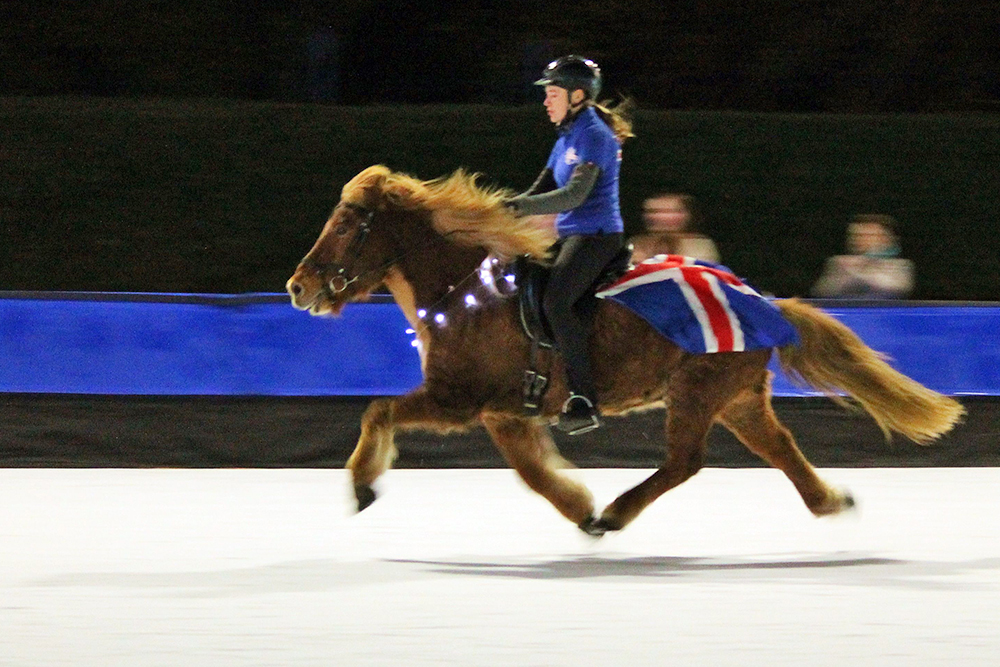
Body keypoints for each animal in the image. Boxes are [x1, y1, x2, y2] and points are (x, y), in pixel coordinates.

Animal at [286, 167, 964, 536]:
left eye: (346, 222)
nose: (298, 286)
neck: (465, 292)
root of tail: (763, 301)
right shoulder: (504, 413)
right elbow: (532, 473)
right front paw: (577, 505)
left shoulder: (458, 399)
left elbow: (378, 409)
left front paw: (362, 485)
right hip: (738, 398)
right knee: (780, 448)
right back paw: (828, 501)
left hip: (696, 392)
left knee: (685, 463)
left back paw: (618, 512)